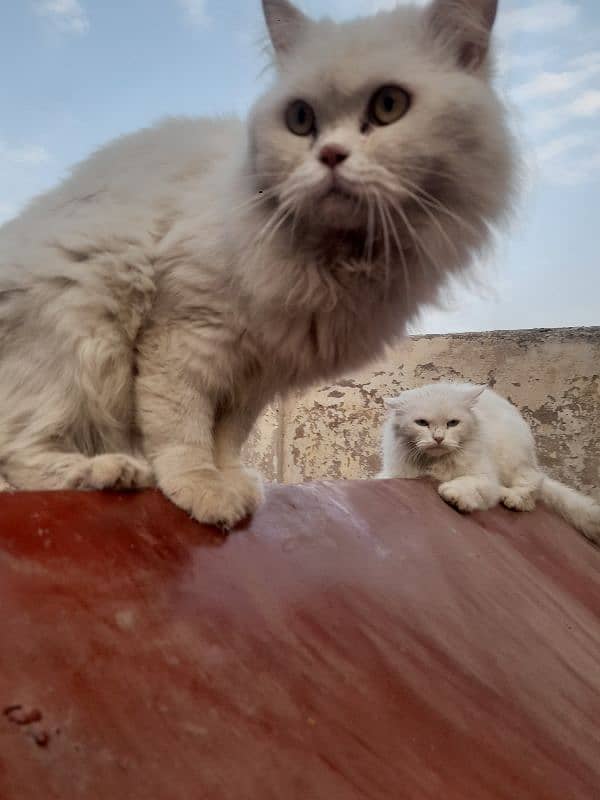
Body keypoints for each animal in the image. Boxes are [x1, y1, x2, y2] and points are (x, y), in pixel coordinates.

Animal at [1, 1, 516, 532]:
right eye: (300, 119)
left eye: (389, 106)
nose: (330, 155)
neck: (337, 260)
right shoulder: (183, 337)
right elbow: (183, 429)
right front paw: (204, 490)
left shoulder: (259, 369)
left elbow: (226, 437)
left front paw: (233, 481)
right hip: (82, 324)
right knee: (17, 452)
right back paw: (110, 472)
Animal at [380, 382, 600, 544]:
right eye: (422, 423)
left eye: (453, 423)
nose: (439, 438)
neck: (434, 462)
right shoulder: (395, 472)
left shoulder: (484, 478)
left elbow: (467, 484)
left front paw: (454, 495)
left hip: (513, 458)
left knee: (533, 486)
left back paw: (513, 498)